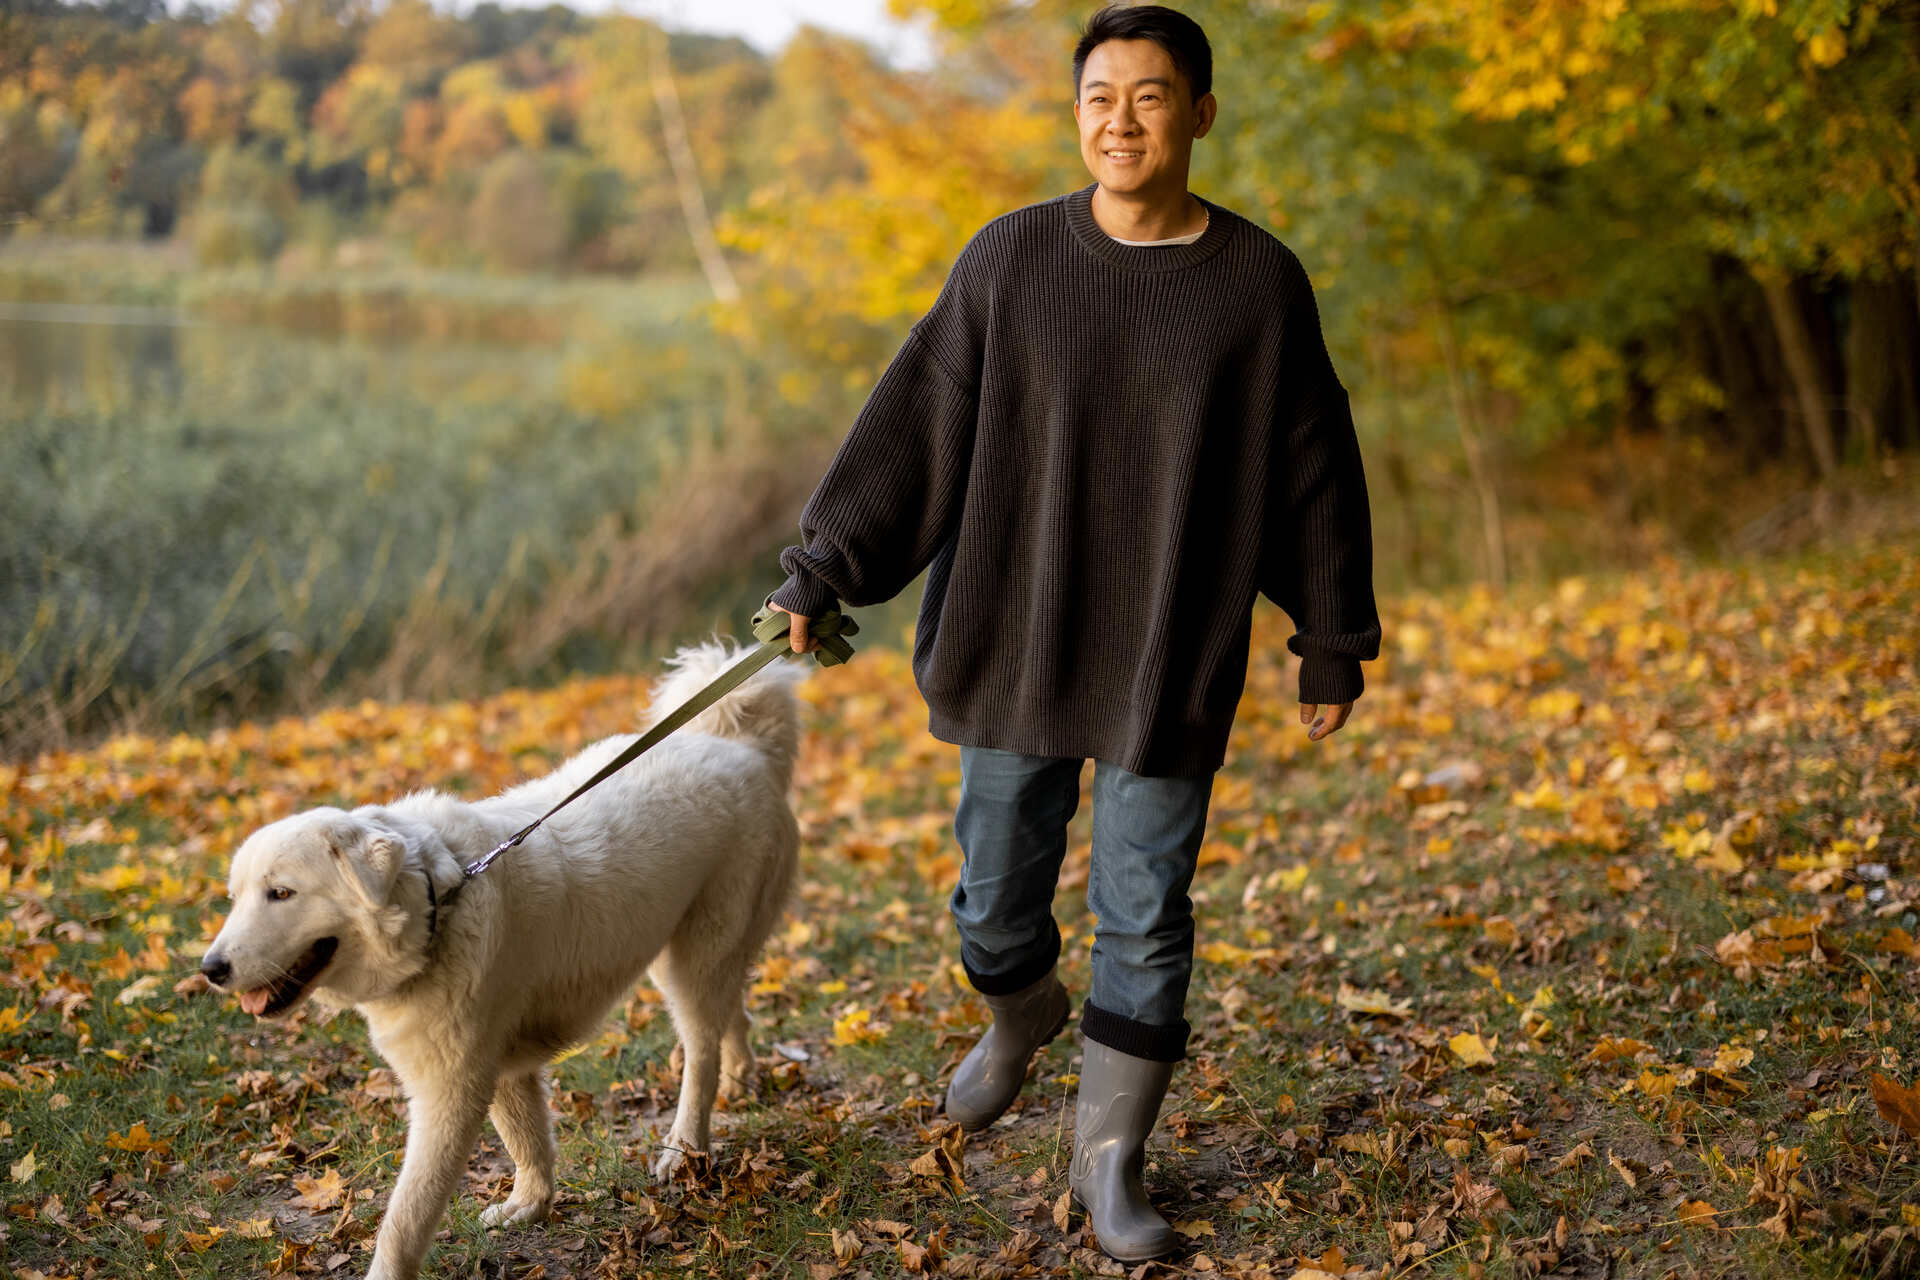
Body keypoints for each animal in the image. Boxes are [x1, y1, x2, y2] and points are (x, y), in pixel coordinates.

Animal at [206, 644, 806, 1280]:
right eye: (235, 897)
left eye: (281, 894)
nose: (209, 970)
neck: (438, 903)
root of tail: (741, 747)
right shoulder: (500, 1068)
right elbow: (527, 1142)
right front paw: (530, 1206)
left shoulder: (450, 1095)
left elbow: (405, 1219)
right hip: (706, 957)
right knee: (729, 1016)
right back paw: (740, 1079)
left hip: (690, 961)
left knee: (701, 1052)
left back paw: (684, 1148)